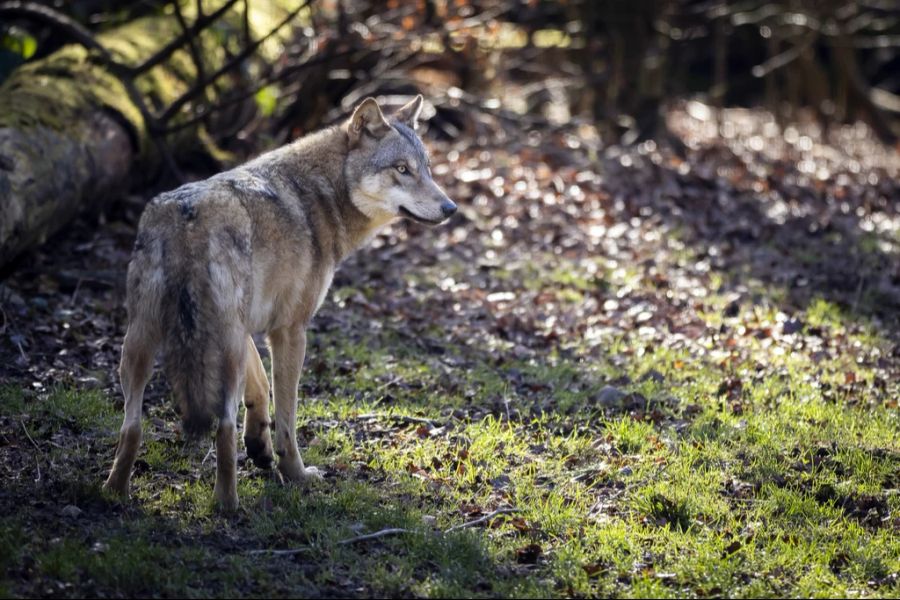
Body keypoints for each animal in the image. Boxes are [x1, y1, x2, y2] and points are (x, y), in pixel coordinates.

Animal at [103, 96, 458, 508]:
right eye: (402, 169)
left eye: (427, 169)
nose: (450, 208)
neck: (321, 194)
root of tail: (187, 217)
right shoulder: (290, 330)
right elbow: (287, 416)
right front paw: (296, 473)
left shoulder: (249, 327)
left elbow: (261, 386)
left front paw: (259, 446)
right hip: (215, 348)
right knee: (222, 425)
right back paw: (227, 505)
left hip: (144, 342)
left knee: (132, 426)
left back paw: (114, 492)